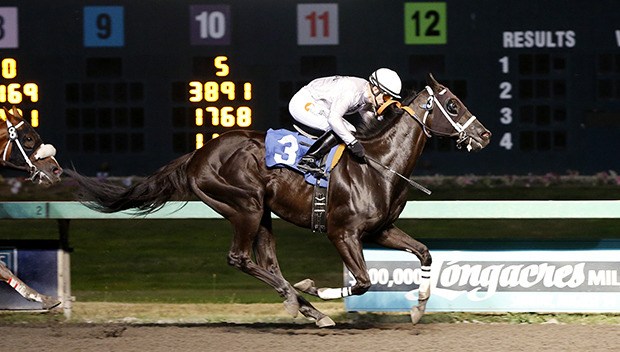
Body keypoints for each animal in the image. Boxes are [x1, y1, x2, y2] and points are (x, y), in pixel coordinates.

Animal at [68, 74, 492, 328]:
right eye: (452, 105)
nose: (485, 135)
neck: (377, 165)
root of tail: (199, 154)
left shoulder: (381, 230)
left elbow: (424, 253)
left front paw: (418, 307)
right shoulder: (342, 233)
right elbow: (363, 282)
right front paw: (315, 288)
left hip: (262, 214)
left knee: (267, 262)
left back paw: (309, 310)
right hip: (246, 206)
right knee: (240, 258)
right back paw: (297, 298)